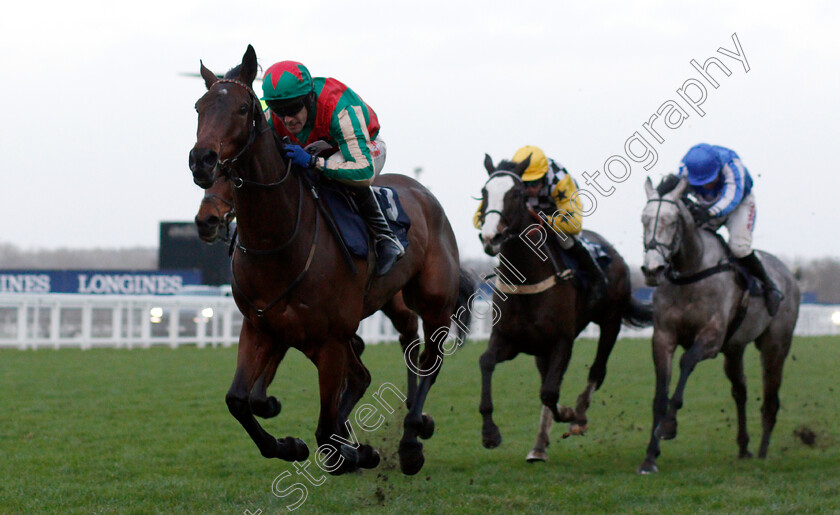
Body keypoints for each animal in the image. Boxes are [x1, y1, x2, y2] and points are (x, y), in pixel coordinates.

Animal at [192, 46, 480, 478]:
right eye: (199, 106)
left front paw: (357, 452)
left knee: (427, 359)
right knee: (383, 362)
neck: (278, 243)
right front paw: (289, 444)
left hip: (432, 301)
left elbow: (327, 433)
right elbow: (240, 400)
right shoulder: (261, 327)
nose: (202, 161)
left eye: (243, 109)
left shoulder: (328, 341)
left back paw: (412, 437)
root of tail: (422, 192)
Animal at [476, 157, 652, 464]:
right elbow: (487, 362)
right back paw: (539, 446)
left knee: (597, 370)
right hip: (541, 349)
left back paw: (579, 415)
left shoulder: (562, 340)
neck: (527, 279)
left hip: (611, 321)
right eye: (485, 193)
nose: (490, 237)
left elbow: (549, 392)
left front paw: (571, 414)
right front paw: (490, 433)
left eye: (516, 194)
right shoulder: (507, 339)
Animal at [636, 177, 800, 476]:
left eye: (672, 221)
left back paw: (762, 452)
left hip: (776, 345)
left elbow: (686, 363)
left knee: (770, 398)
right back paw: (744, 447)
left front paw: (668, 426)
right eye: (643, 219)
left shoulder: (711, 338)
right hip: (734, 349)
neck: (691, 272)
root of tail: (789, 276)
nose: (653, 270)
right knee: (740, 392)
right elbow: (660, 396)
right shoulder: (663, 337)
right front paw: (650, 457)